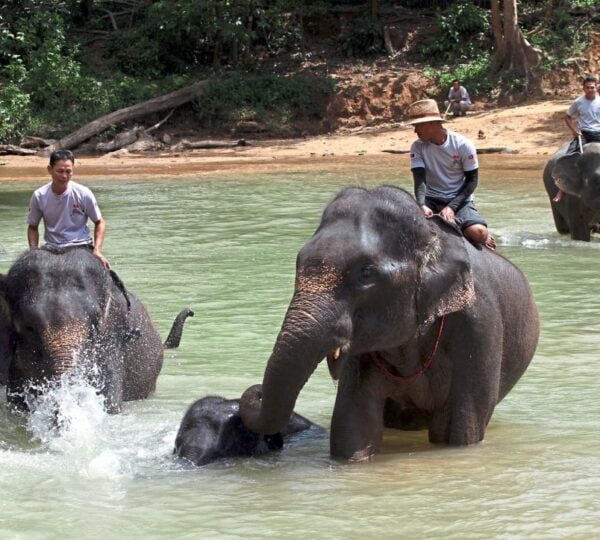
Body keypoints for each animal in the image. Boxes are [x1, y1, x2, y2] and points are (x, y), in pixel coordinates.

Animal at [238, 185, 540, 460]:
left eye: (366, 273)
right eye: (297, 263)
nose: (256, 391)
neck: (431, 236)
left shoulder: (479, 325)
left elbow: (456, 431)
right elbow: (354, 426)